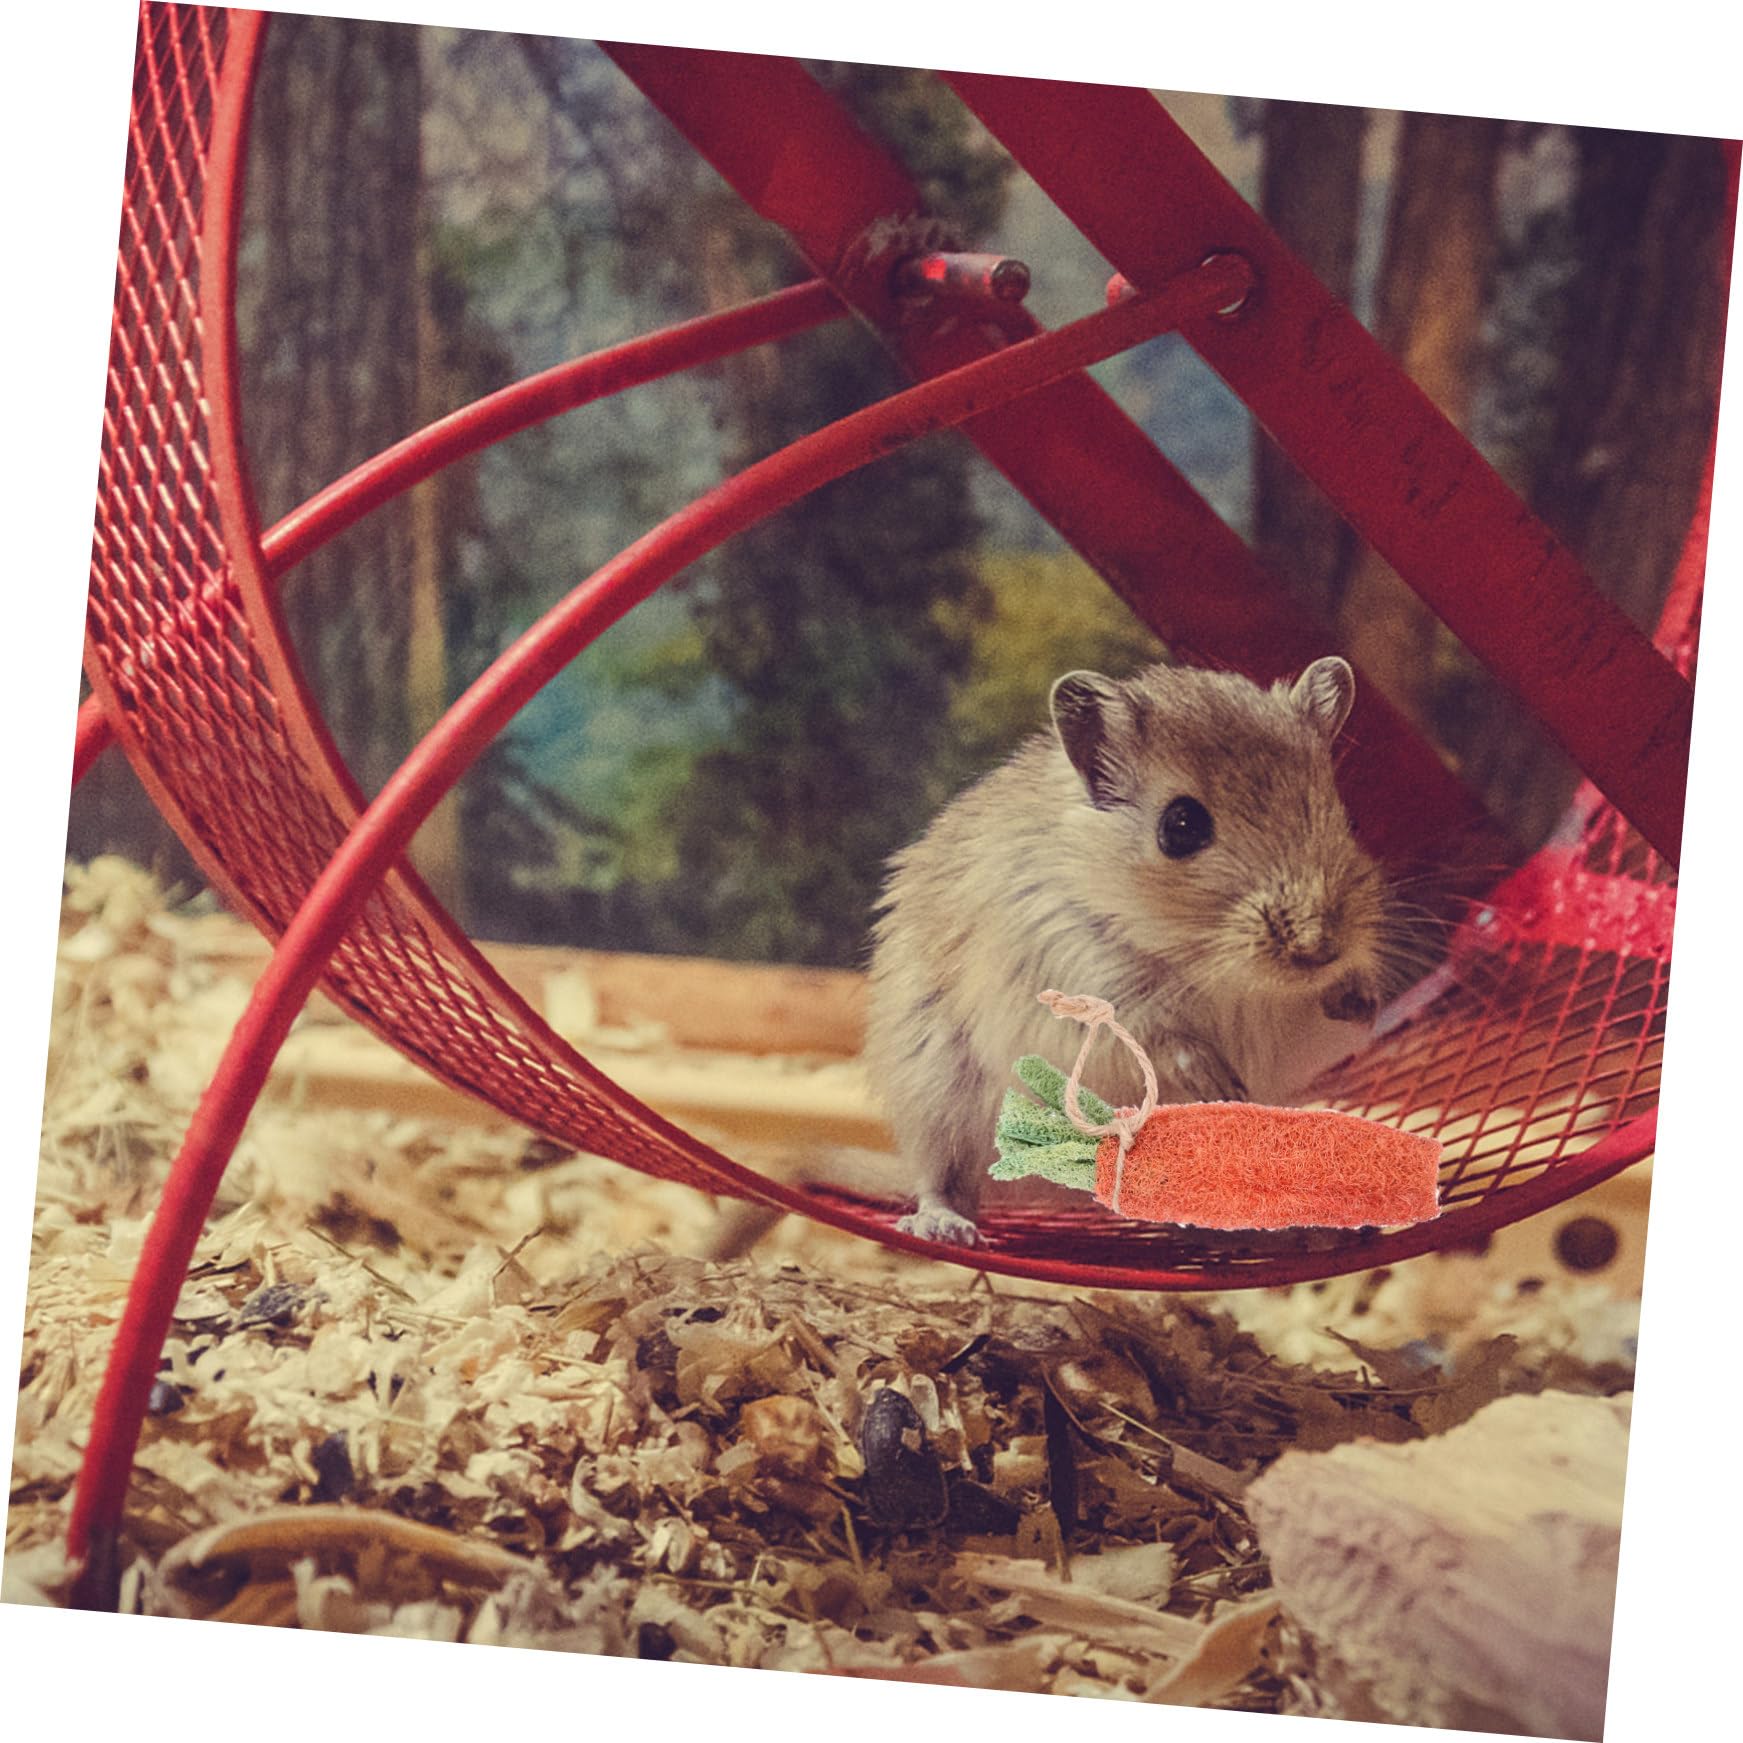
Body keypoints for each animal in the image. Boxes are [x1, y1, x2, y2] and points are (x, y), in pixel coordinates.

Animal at [865, 655, 1406, 1246]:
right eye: (1181, 826)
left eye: (1346, 817)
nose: (1318, 948)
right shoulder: (1074, 974)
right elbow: (1156, 1034)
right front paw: (1217, 1081)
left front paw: (1360, 1001)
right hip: (937, 1092)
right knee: (945, 1178)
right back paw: (946, 1227)